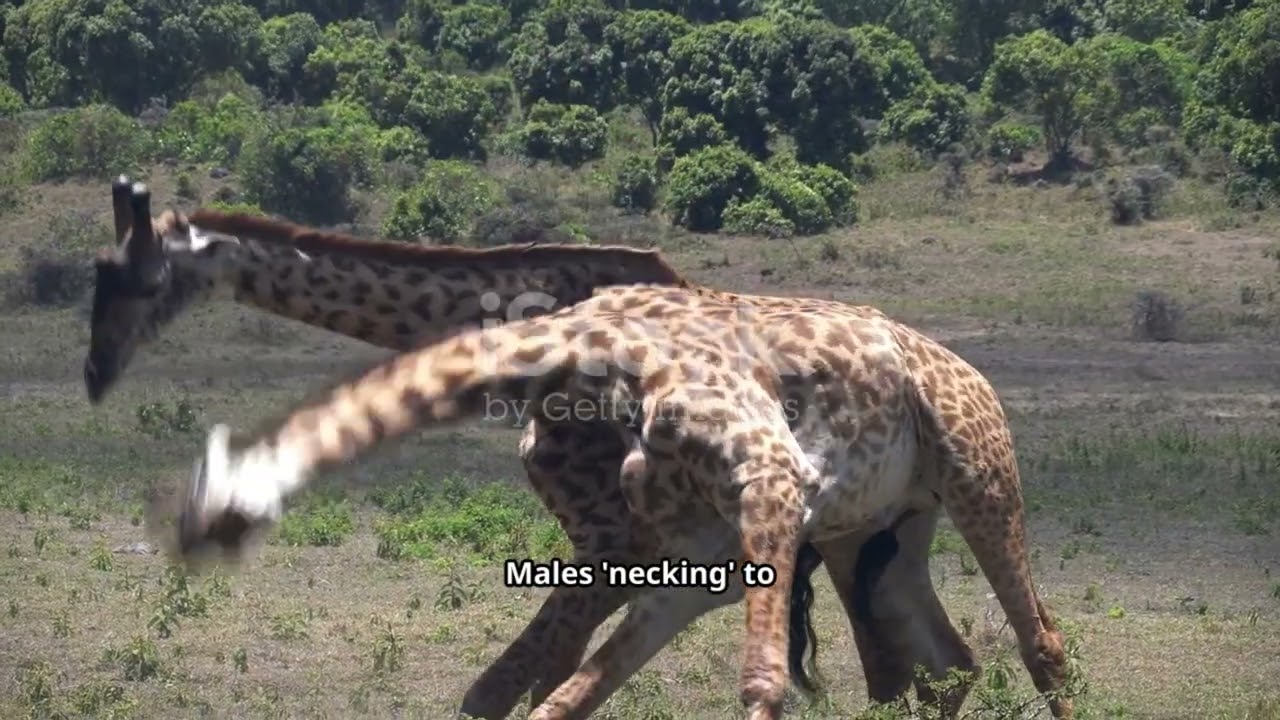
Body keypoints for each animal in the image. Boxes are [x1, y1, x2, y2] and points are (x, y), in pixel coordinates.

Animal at [87, 180, 969, 716]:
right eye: (96, 273)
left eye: (139, 277)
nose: (96, 372)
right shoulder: (607, 551)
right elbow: (517, 687)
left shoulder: (615, 545)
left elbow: (505, 689)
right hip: (870, 542)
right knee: (934, 669)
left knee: (927, 669)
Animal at [159, 283, 1075, 720]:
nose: (198, 530)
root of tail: (953, 360)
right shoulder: (677, 567)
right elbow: (550, 695)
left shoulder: (771, 484)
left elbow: (761, 680)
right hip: (880, 532)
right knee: (945, 665)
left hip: (979, 471)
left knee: (1041, 642)